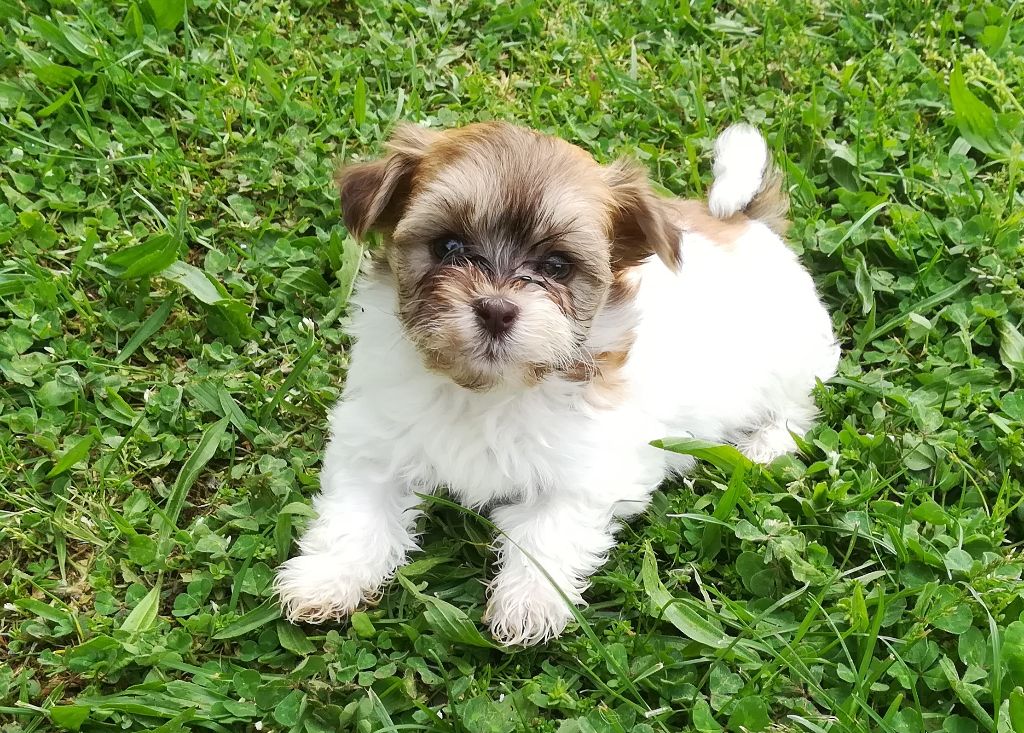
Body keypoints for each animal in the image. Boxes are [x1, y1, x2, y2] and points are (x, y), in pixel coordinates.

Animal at [274, 121, 839, 645]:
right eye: (448, 246)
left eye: (557, 266)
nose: (496, 309)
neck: (487, 389)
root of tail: (744, 223)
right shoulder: (372, 443)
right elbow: (356, 513)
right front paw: (326, 579)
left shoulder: (591, 470)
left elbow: (550, 529)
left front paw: (527, 603)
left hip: (792, 359)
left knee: (796, 406)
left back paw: (764, 447)